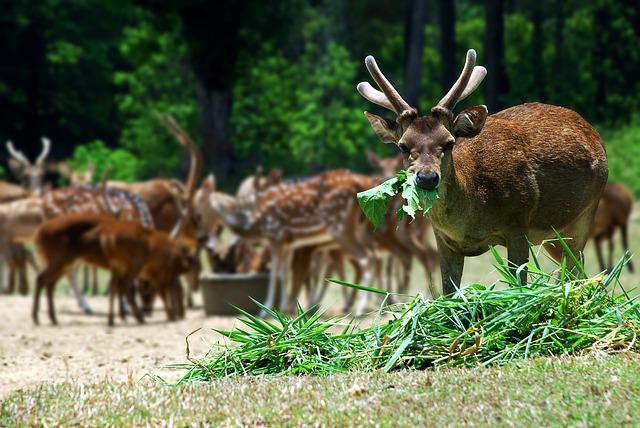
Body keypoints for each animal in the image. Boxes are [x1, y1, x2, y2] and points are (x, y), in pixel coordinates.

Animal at [358, 48, 608, 292]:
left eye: (449, 143)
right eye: (403, 146)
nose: (427, 178)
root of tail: (593, 132)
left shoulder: (519, 221)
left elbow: (519, 285)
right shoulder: (442, 238)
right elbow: (449, 291)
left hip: (586, 211)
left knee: (578, 267)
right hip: (556, 235)